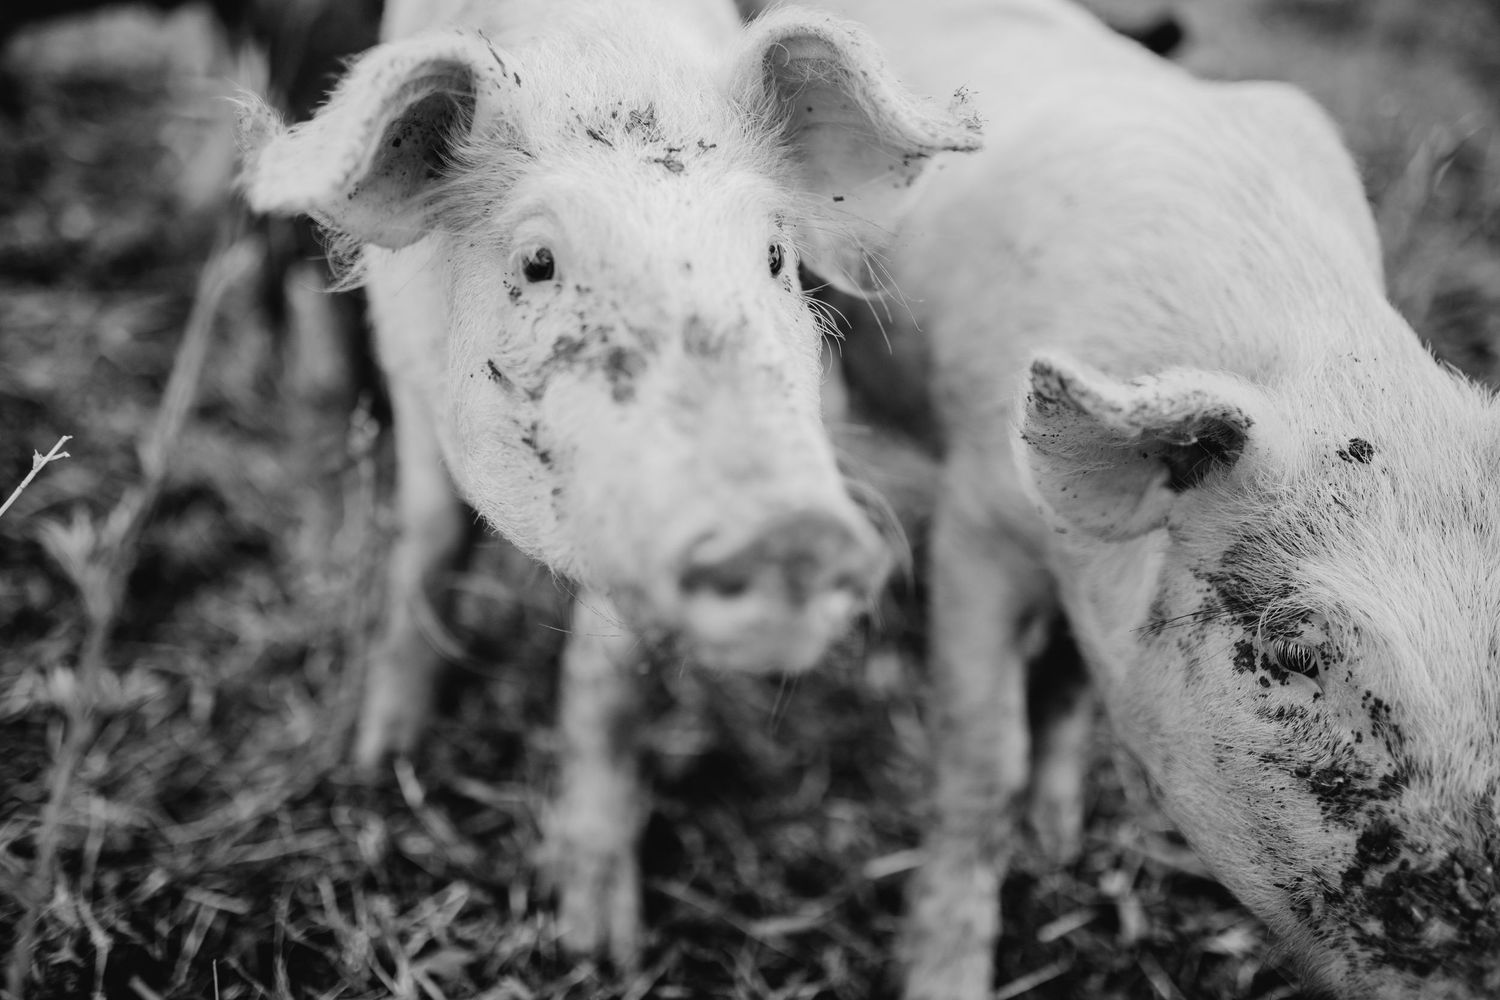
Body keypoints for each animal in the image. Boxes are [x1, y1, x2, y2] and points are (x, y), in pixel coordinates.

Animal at [236, 0, 979, 966]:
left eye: (775, 255)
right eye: (538, 263)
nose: (792, 535)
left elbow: (605, 682)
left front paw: (600, 945)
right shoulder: (402, 363)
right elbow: (425, 540)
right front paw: (379, 763)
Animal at [770, 0, 1500, 997]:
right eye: (1291, 652)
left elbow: (1071, 681)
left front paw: (1057, 843)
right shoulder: (980, 520)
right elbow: (981, 764)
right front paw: (946, 974)